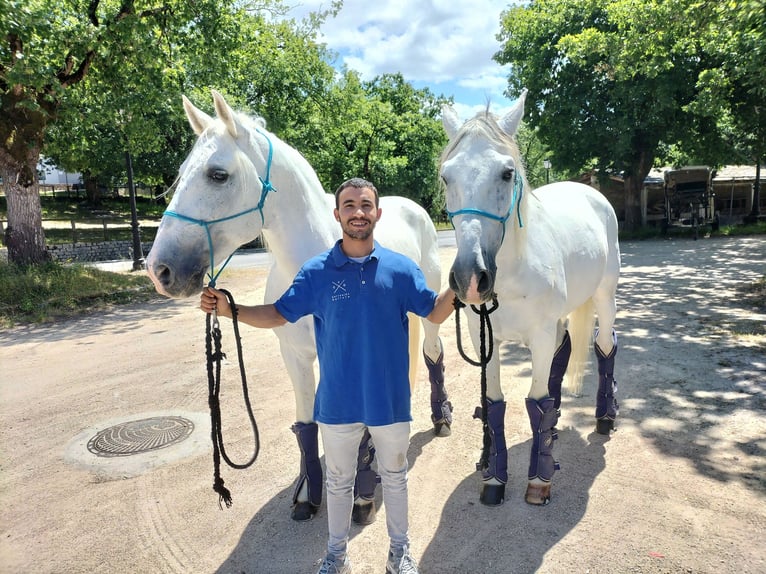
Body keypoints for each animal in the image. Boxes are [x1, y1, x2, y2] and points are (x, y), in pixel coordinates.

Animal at [147, 92, 452, 524]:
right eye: (181, 172)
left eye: (218, 175)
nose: (160, 270)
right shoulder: (295, 356)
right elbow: (307, 427)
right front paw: (309, 493)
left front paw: (362, 493)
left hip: (426, 318)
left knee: (432, 355)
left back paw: (440, 418)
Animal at [440, 88, 620, 506]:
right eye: (446, 176)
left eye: (507, 173)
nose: (469, 277)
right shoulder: (483, 338)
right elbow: (496, 406)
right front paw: (494, 479)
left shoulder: (538, 334)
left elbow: (537, 404)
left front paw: (539, 479)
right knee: (562, 352)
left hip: (605, 297)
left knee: (605, 347)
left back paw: (605, 418)